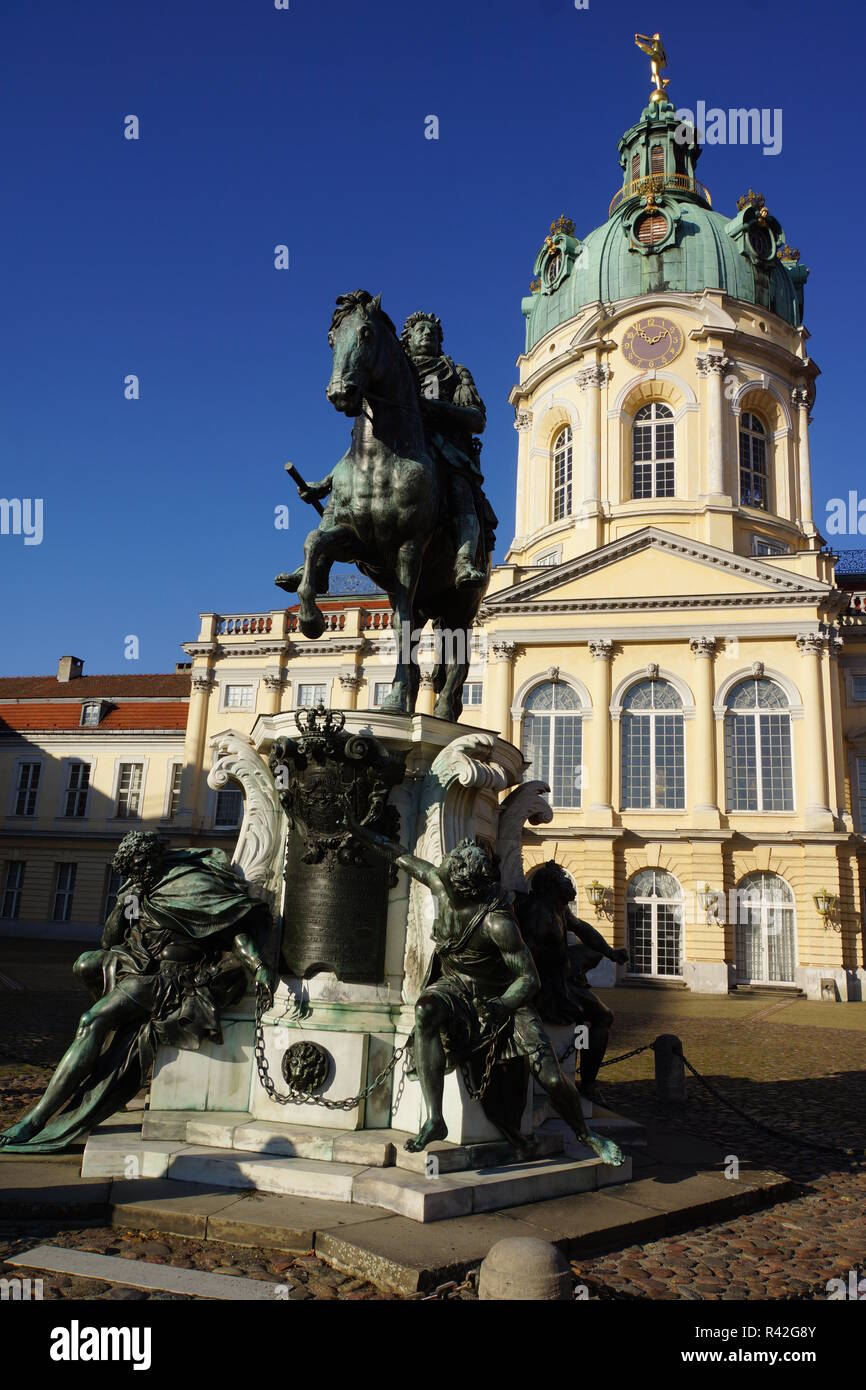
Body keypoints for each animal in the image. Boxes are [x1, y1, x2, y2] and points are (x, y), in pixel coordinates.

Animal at [276, 294, 489, 728]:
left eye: (366, 332)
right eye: (331, 339)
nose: (340, 392)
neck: (378, 455)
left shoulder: (408, 548)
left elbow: (473, 412)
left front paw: (396, 700)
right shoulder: (356, 540)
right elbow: (314, 541)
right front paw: (311, 618)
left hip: (461, 604)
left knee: (456, 660)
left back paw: (443, 710)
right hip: (427, 601)